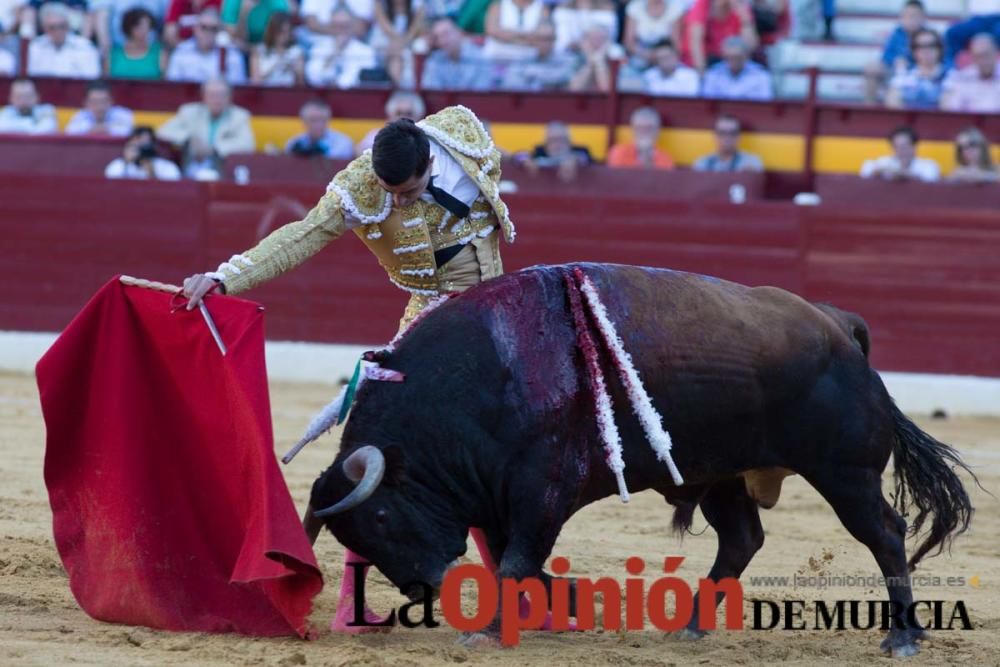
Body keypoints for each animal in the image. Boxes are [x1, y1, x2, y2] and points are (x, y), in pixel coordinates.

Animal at [306, 262, 976, 656]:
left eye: (383, 518)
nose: (427, 587)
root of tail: (840, 325)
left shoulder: (543, 488)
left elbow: (517, 560)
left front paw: (492, 631)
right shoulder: (498, 498)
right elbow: (516, 562)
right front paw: (563, 605)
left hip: (845, 473)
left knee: (884, 533)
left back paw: (903, 636)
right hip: (723, 475)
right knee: (742, 540)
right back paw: (691, 626)